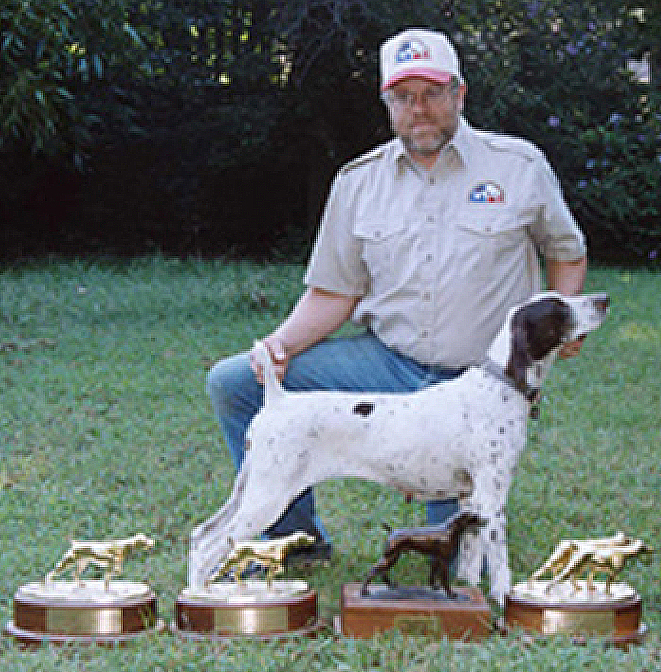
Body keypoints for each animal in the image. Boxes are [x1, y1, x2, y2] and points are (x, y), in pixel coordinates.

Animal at [189, 292, 608, 600]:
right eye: (558, 307)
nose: (603, 299)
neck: (497, 387)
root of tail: (276, 399)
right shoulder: (493, 496)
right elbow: (499, 561)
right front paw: (505, 603)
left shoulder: (471, 497)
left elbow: (471, 561)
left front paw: (469, 593)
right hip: (270, 496)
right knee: (212, 544)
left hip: (251, 490)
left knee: (200, 536)